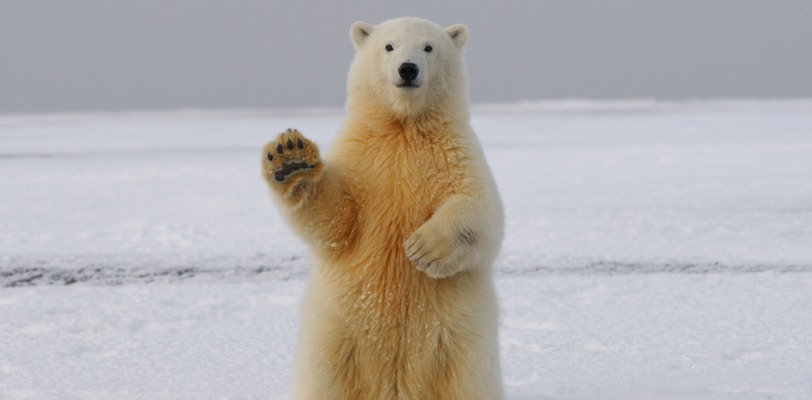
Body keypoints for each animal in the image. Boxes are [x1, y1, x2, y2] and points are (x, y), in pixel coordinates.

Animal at [262, 17, 502, 398]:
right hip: (333, 338)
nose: (408, 68)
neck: (403, 127)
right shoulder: (361, 159)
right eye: (389, 46)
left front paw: (422, 249)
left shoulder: (457, 155)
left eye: (428, 47)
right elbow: (336, 219)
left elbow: (481, 210)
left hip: (461, 347)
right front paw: (291, 158)